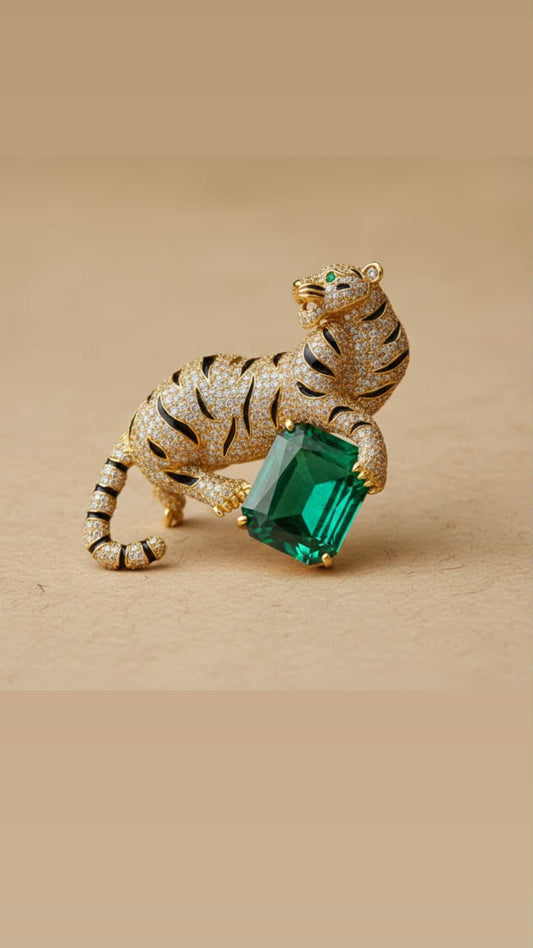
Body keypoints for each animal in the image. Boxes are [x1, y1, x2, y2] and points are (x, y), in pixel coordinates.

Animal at [84, 261, 409, 569]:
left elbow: (365, 413)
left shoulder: (368, 389)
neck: (357, 335)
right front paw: (372, 472)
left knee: (161, 482)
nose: (297, 284)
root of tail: (133, 426)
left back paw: (173, 511)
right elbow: (365, 422)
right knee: (174, 475)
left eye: (330, 276)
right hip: (169, 442)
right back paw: (227, 493)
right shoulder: (313, 396)